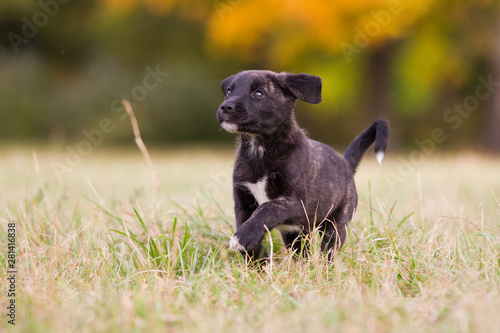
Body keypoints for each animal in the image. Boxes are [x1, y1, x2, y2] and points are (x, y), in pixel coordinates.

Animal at [217, 70, 388, 262]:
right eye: (229, 91)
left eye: (258, 93)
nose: (225, 107)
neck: (260, 150)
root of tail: (346, 164)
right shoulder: (242, 202)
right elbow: (248, 226)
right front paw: (259, 260)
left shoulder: (296, 202)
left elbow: (267, 209)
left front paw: (243, 238)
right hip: (296, 234)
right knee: (302, 253)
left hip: (336, 223)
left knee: (328, 249)